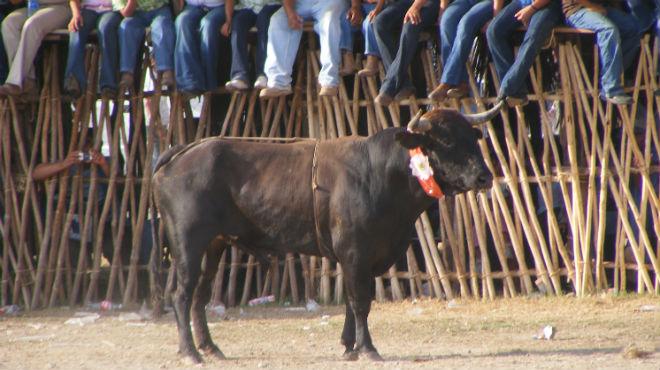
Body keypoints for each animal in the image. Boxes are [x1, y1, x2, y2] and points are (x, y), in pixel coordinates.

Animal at [152, 102, 502, 362]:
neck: (380, 173)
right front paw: (368, 349)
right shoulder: (355, 252)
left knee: (200, 295)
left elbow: (350, 300)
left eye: (473, 139)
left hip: (214, 245)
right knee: (182, 294)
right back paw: (190, 352)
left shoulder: (362, 257)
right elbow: (360, 301)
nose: (484, 176)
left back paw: (210, 348)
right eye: (446, 142)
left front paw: (350, 346)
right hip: (188, 243)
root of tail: (185, 151)